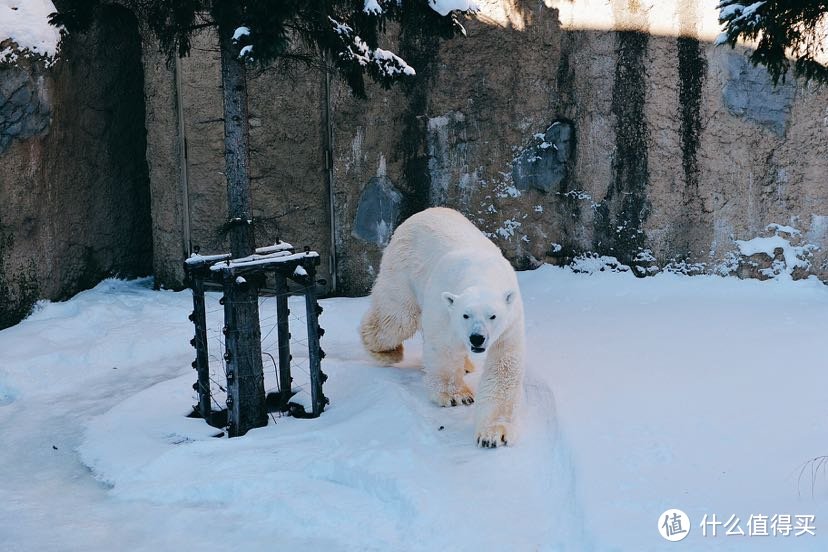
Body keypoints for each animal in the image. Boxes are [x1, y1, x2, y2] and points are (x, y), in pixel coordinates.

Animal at [360, 205, 528, 446]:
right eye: (465, 315)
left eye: (493, 316)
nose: (477, 338)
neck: (481, 274)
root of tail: (424, 212)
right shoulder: (444, 307)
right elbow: (443, 348)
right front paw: (456, 396)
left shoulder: (510, 322)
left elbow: (503, 364)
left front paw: (494, 434)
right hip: (403, 268)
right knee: (397, 318)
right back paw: (386, 352)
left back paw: (466, 364)